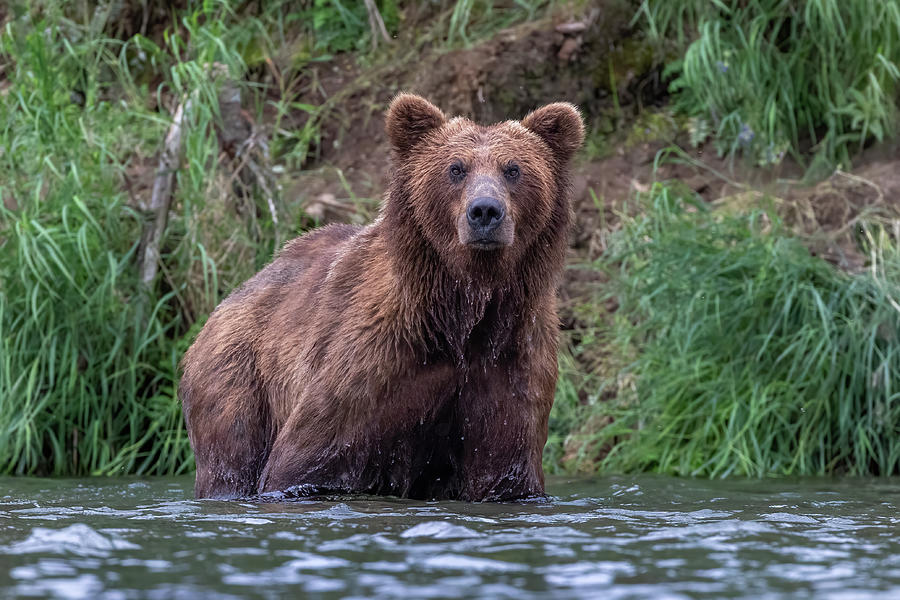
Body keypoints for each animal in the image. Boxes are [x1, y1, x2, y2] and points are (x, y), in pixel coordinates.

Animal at [178, 94, 584, 500]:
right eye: (455, 168)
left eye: (513, 169)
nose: (485, 211)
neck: (460, 313)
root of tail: (234, 295)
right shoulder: (373, 360)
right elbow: (304, 458)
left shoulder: (509, 362)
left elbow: (505, 473)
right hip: (238, 376)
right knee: (232, 453)